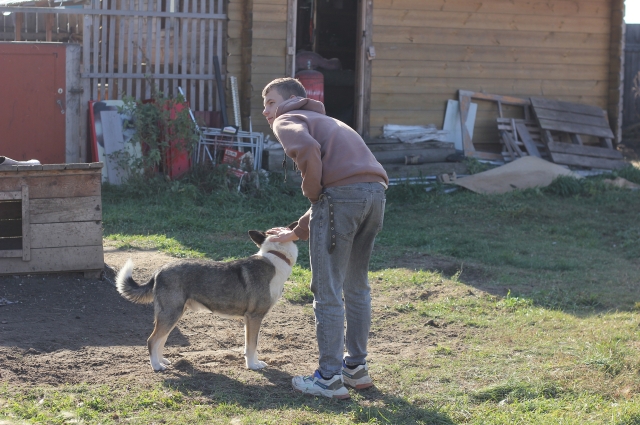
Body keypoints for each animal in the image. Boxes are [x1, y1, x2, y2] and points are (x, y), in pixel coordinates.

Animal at [114, 224, 298, 370]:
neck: (276, 257)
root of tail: (159, 271)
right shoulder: (254, 317)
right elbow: (252, 345)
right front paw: (253, 366)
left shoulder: (250, 320)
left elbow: (251, 345)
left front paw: (255, 362)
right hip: (171, 314)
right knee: (152, 340)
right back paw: (156, 367)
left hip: (172, 315)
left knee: (161, 339)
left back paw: (162, 361)